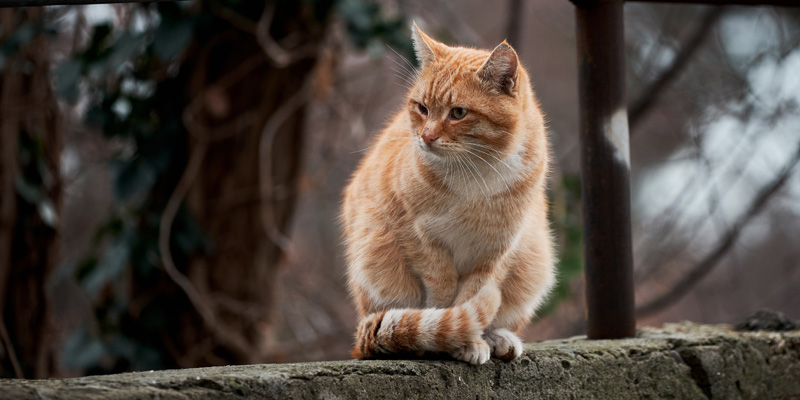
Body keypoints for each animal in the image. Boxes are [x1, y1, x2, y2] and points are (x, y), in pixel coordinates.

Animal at [340, 22, 552, 366]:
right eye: (423, 108)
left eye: (459, 113)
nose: (426, 137)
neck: (475, 172)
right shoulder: (418, 236)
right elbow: (442, 297)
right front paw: (453, 340)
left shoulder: (494, 253)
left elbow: (473, 294)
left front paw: (472, 340)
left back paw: (498, 338)